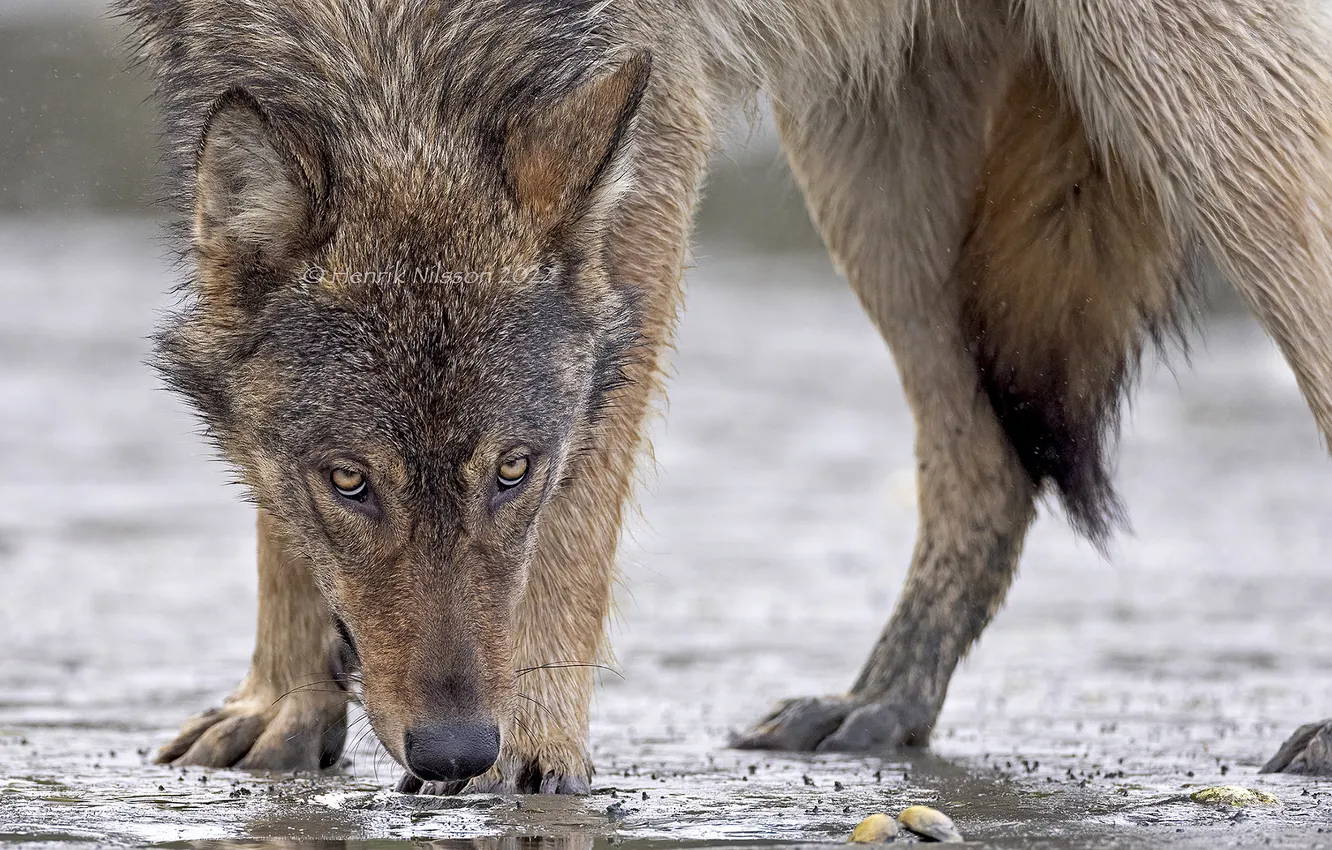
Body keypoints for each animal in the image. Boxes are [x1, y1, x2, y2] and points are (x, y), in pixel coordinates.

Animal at [116, 0, 1332, 792]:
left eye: (514, 470)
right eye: (348, 481)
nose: (456, 750)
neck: (398, 56)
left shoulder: (657, 114)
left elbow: (582, 514)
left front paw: (539, 747)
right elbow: (271, 502)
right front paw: (284, 703)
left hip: (1187, 91)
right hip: (868, 164)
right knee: (987, 463)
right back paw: (878, 703)